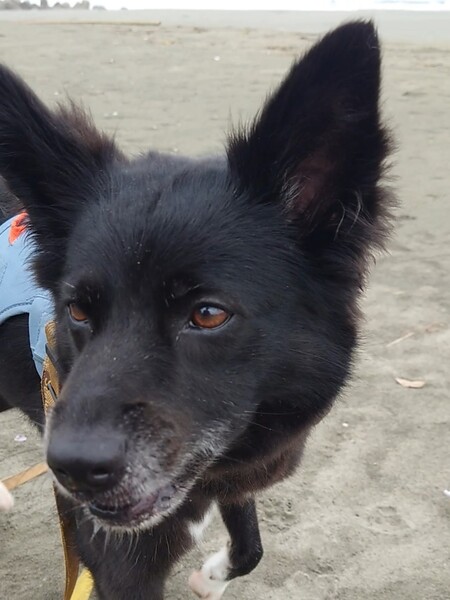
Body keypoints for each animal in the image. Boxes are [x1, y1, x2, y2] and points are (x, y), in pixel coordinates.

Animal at [0, 20, 393, 600]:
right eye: (78, 311)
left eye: (208, 314)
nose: (70, 471)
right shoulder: (118, 564)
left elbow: (251, 544)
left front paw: (212, 577)